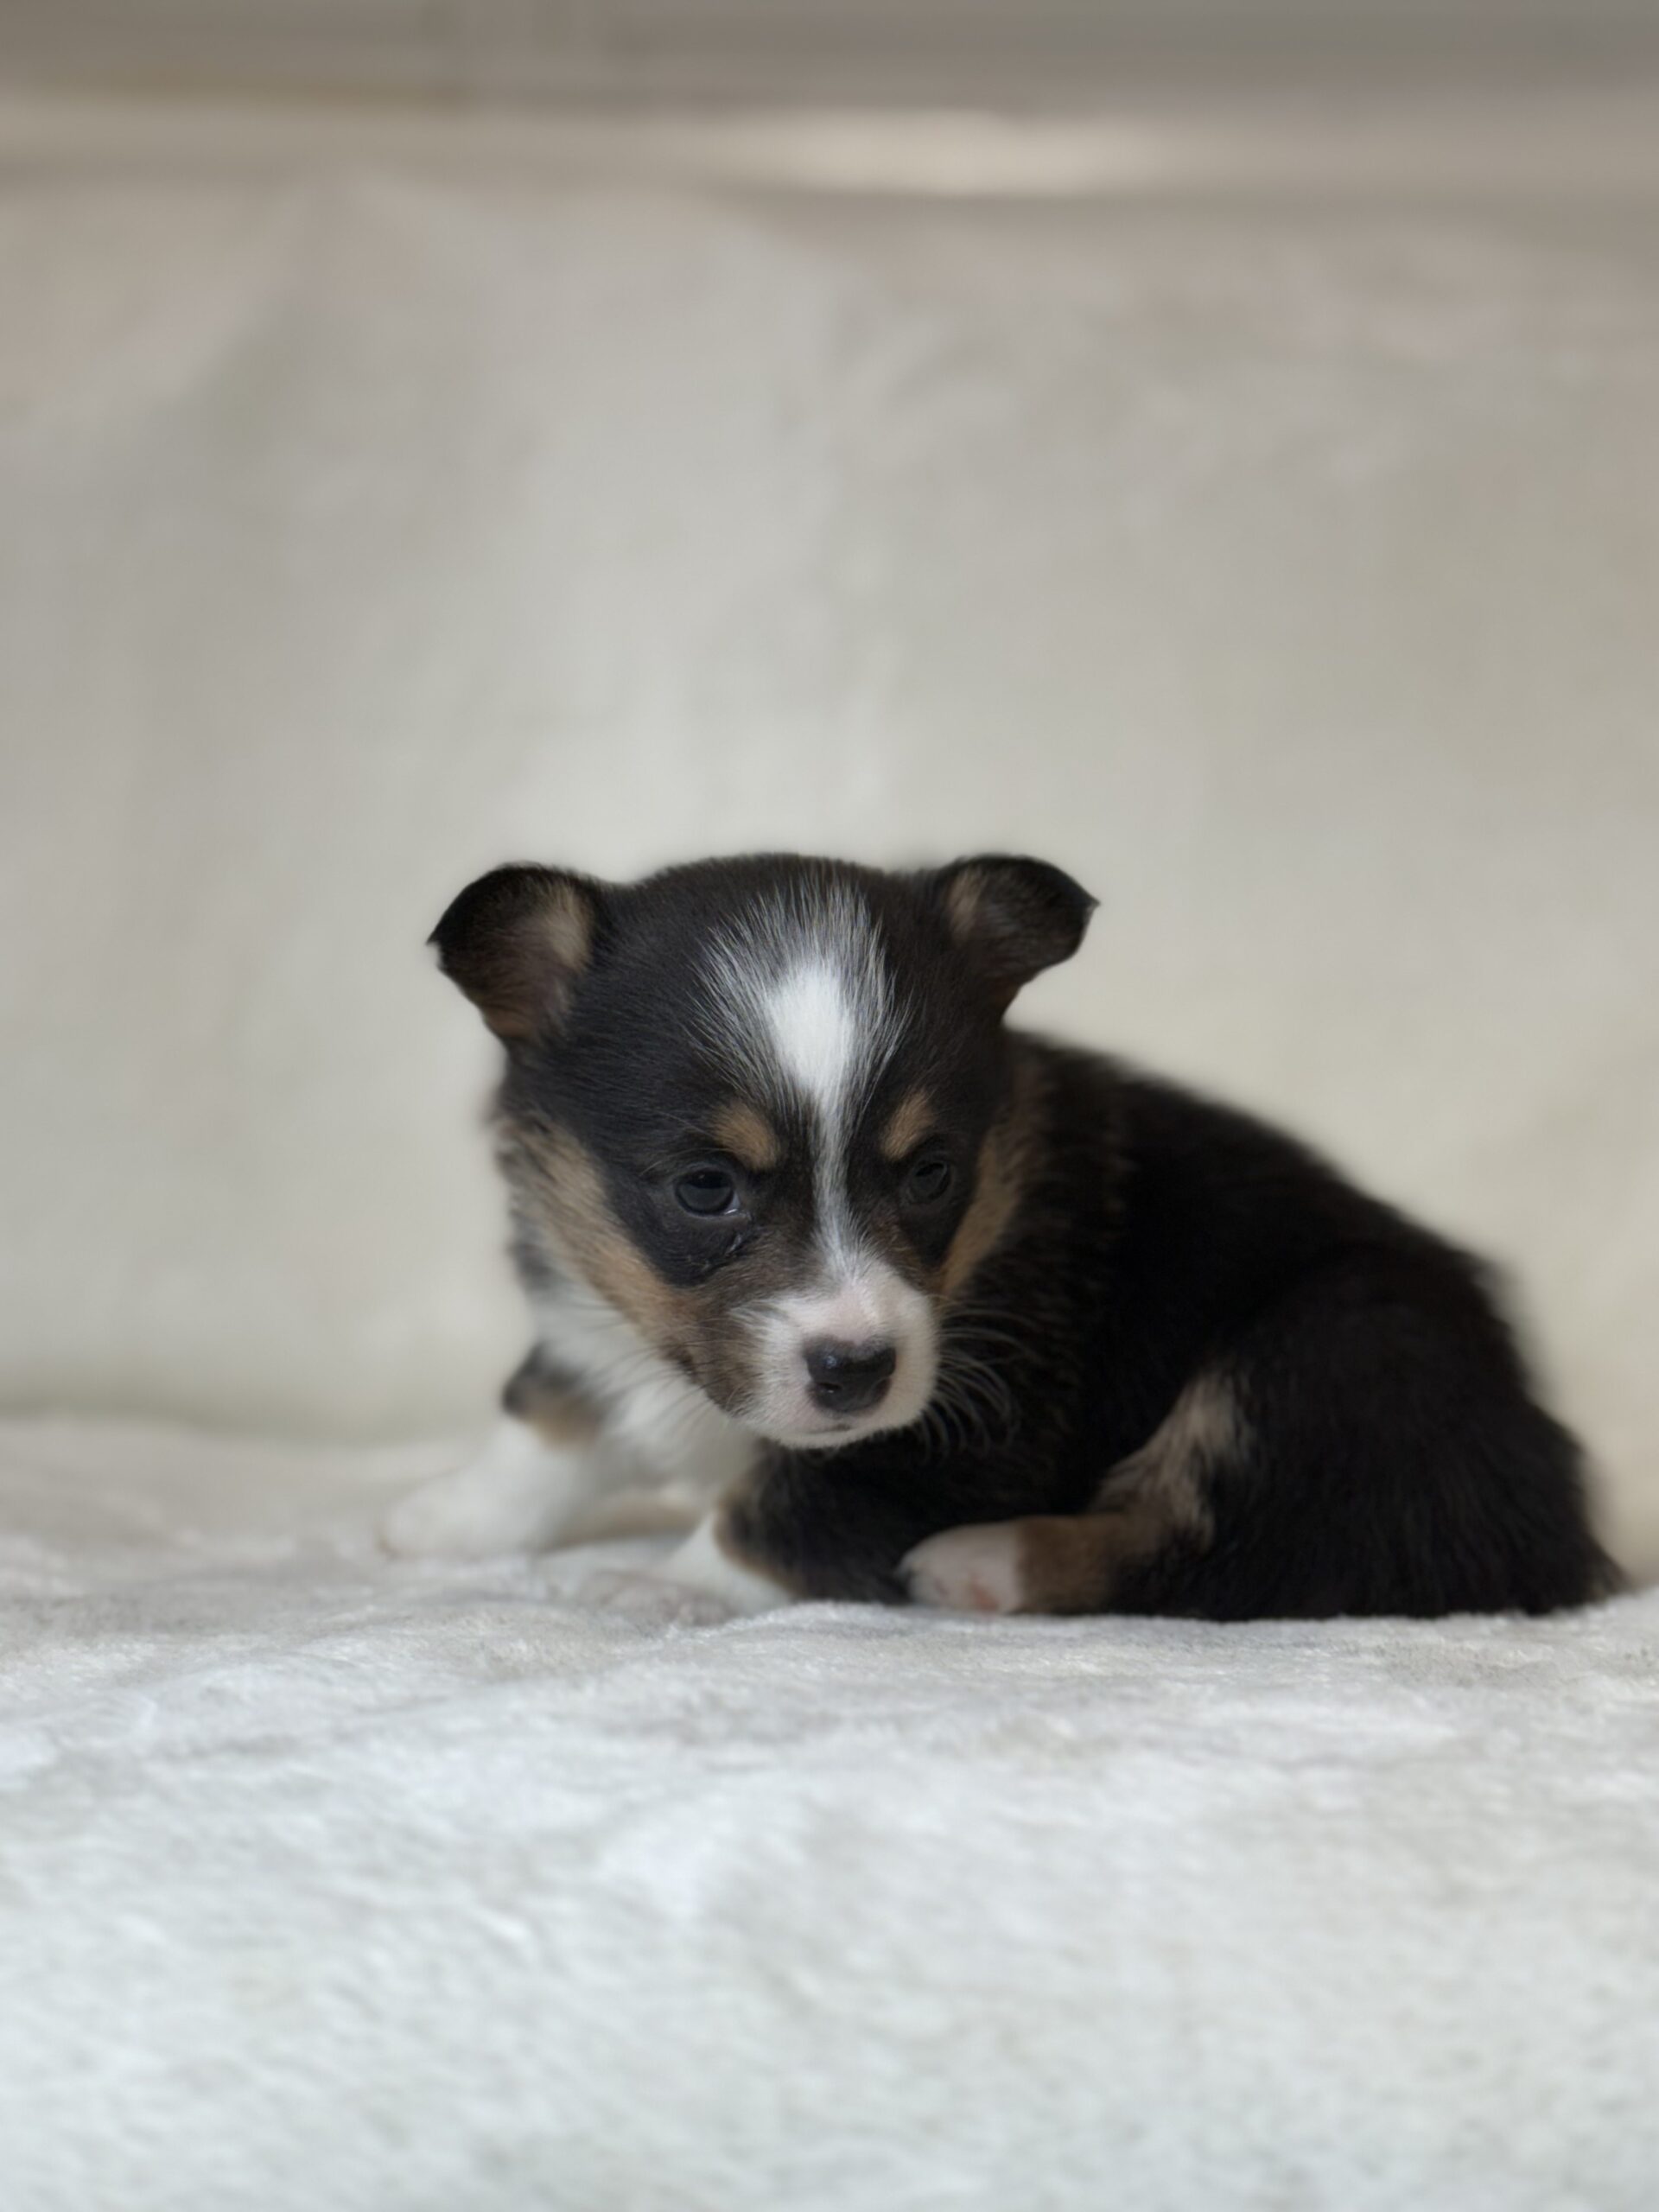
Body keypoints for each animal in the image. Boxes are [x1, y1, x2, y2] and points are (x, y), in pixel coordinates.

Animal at [385, 851, 1615, 1621]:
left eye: (932, 1173)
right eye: (703, 1188)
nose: (857, 1369)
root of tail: (1553, 1502)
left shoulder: (966, 1423)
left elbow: (790, 1504)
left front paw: (665, 1588)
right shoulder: (588, 1313)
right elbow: (547, 1423)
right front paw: (438, 1519)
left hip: (1335, 1347)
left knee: (1241, 1555)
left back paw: (985, 1566)